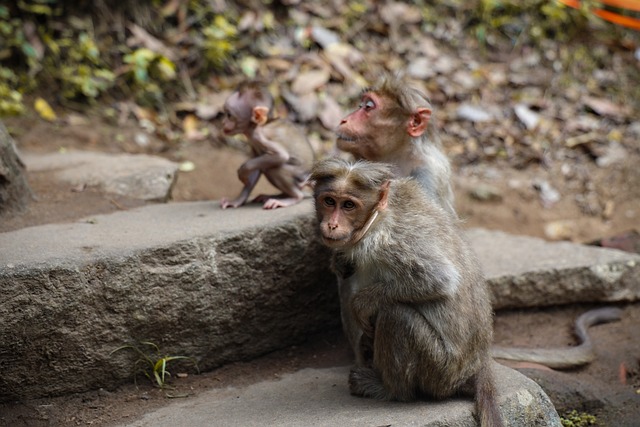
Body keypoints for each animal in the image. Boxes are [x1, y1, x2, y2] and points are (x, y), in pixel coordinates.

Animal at [220, 82, 316, 211]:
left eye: (229, 115)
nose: (223, 122)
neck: (256, 127)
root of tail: (308, 175)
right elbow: (256, 167)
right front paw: (237, 200)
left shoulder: (259, 136)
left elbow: (280, 156)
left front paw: (242, 171)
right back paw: (279, 195)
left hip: (299, 175)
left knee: (275, 169)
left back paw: (293, 198)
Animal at [310, 157, 504, 427]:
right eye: (329, 201)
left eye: (348, 205)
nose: (331, 224)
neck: (377, 218)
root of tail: (476, 365)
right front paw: (338, 261)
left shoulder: (391, 241)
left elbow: (438, 279)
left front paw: (362, 303)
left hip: (439, 371)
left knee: (396, 316)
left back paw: (389, 390)